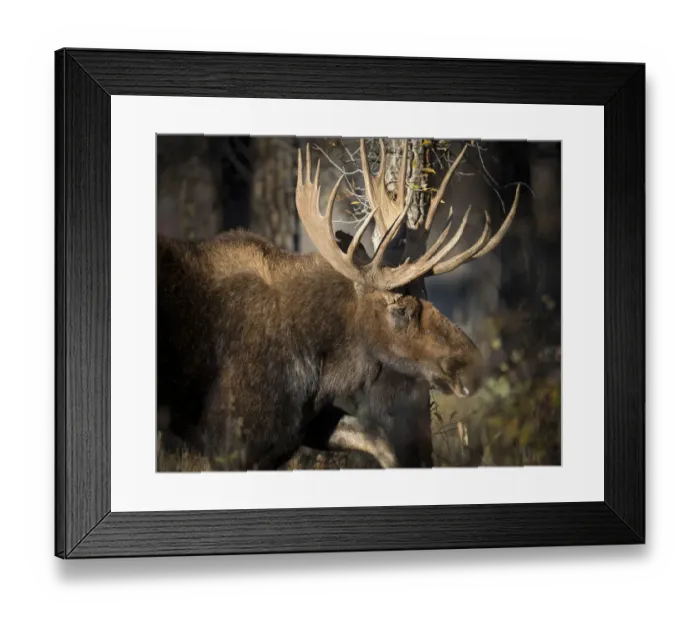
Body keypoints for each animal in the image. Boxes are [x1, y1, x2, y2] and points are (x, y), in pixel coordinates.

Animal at [157, 139, 520, 471]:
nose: (472, 365)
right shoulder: (231, 440)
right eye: (400, 309)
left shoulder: (297, 429)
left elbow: (379, 440)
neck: (317, 366)